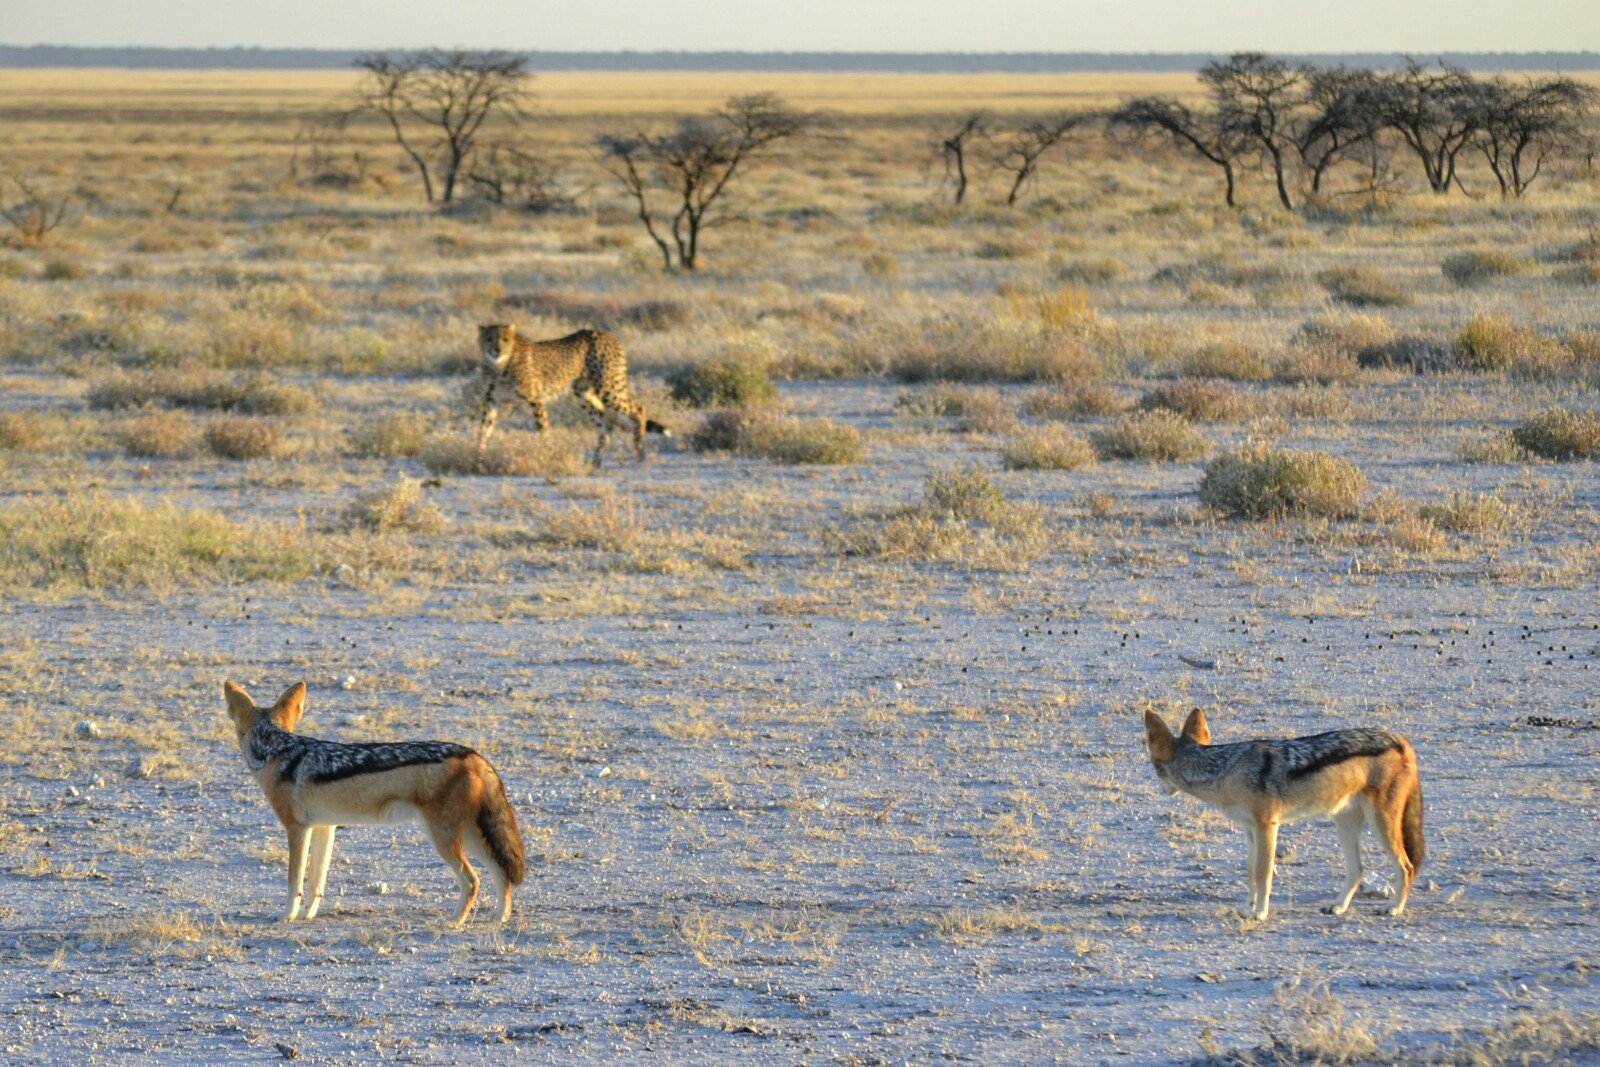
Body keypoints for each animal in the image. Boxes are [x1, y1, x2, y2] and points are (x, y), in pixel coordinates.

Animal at [475, 323, 669, 469]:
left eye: (505, 339)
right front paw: (478, 458)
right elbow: (483, 431)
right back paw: (594, 463)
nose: (497, 350)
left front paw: (546, 457)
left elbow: (543, 431)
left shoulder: (535, 399)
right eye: (489, 339)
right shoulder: (491, 401)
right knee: (605, 428)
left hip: (608, 389)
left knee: (638, 409)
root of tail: (605, 333)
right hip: (584, 393)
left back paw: (640, 452)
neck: (499, 366)